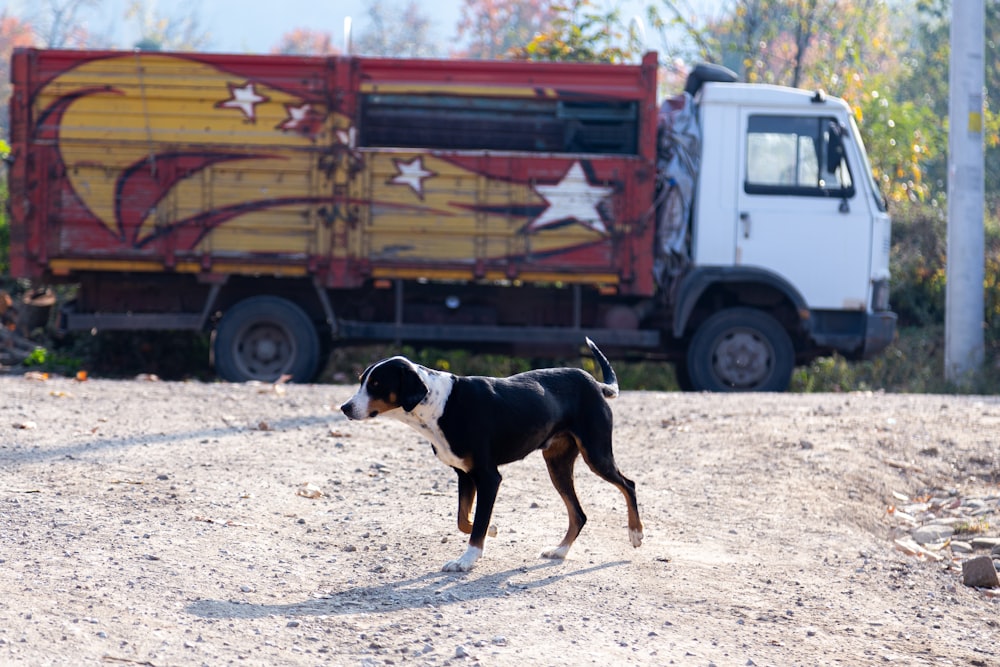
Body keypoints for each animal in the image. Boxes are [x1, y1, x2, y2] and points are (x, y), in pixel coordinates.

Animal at [340, 340, 644, 576]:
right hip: (557, 465)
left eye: (376, 384)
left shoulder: (488, 477)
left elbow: (476, 527)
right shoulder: (465, 475)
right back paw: (560, 550)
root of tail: (594, 383)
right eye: (361, 380)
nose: (345, 407)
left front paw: (466, 560)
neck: (441, 405)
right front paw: (494, 529)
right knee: (578, 514)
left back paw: (636, 533)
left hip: (596, 455)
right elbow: (464, 519)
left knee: (628, 485)